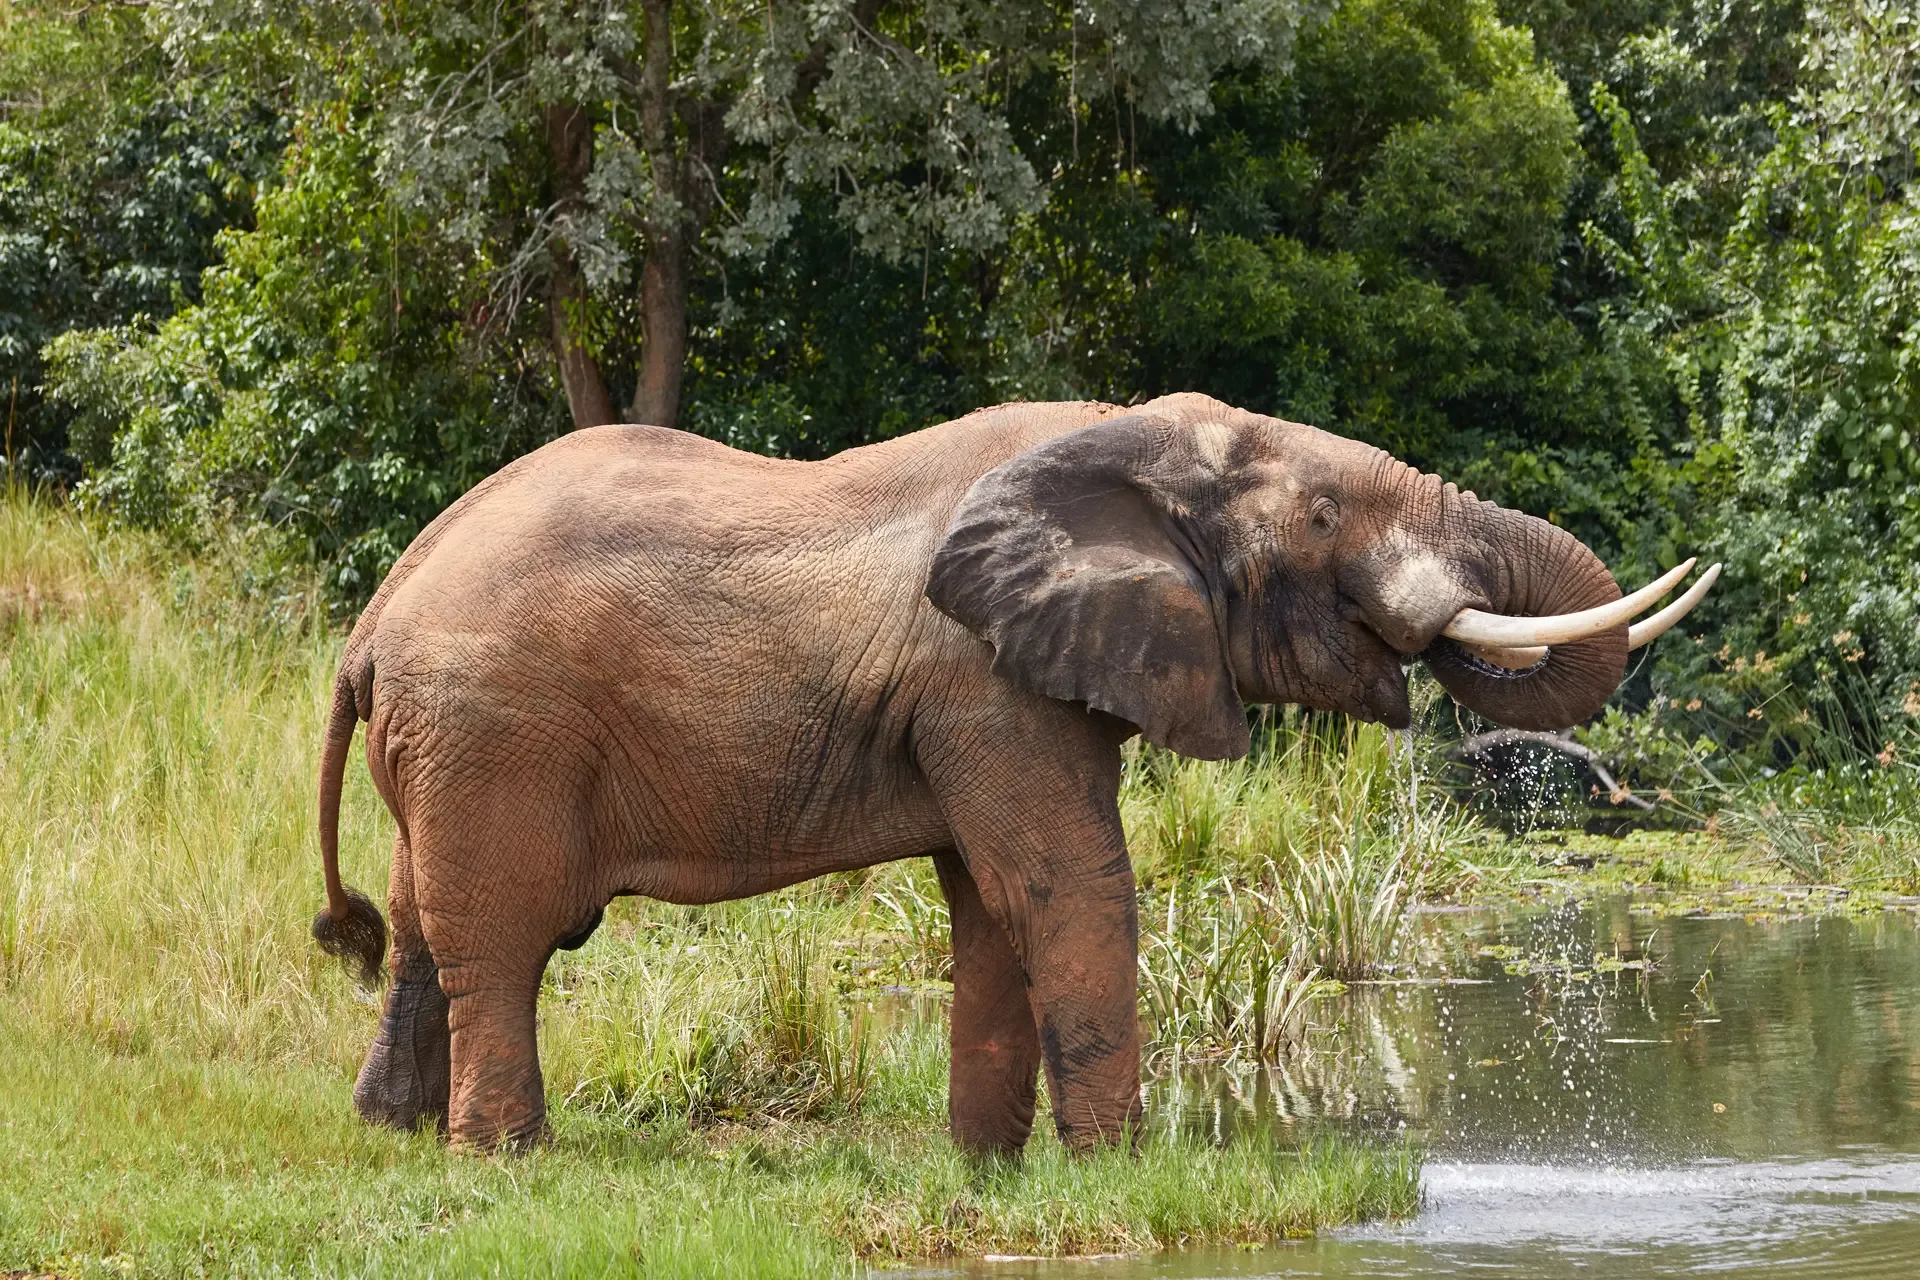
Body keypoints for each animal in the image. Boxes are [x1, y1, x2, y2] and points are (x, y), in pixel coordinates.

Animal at [311, 392, 1713, 1154]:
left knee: (425, 921)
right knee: (500, 936)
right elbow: (1068, 883)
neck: (1119, 436)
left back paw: (389, 1130)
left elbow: (990, 906)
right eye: (1323, 521)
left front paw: (985, 1165)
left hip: (449, 744)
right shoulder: (986, 679)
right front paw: (1128, 1171)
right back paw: (510, 1156)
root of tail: (374, 621)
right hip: (495, 731)